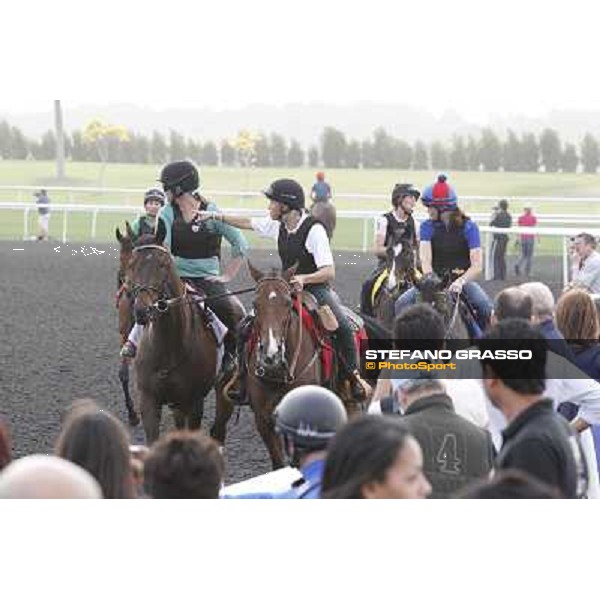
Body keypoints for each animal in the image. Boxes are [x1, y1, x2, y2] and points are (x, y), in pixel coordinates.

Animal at [123, 227, 220, 442]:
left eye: (163, 264)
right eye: (132, 264)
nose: (142, 311)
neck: (169, 345)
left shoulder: (194, 402)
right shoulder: (149, 401)